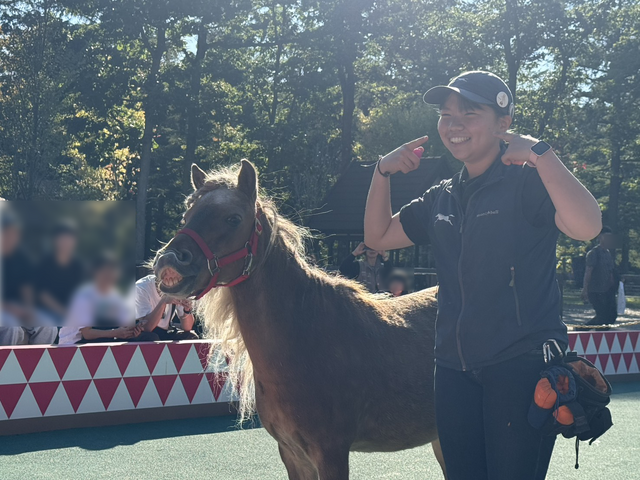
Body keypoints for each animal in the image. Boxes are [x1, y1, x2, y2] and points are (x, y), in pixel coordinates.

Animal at [153, 160, 446, 479]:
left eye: (233, 218)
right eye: (187, 215)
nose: (168, 261)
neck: (304, 335)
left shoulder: (331, 454)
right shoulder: (293, 454)